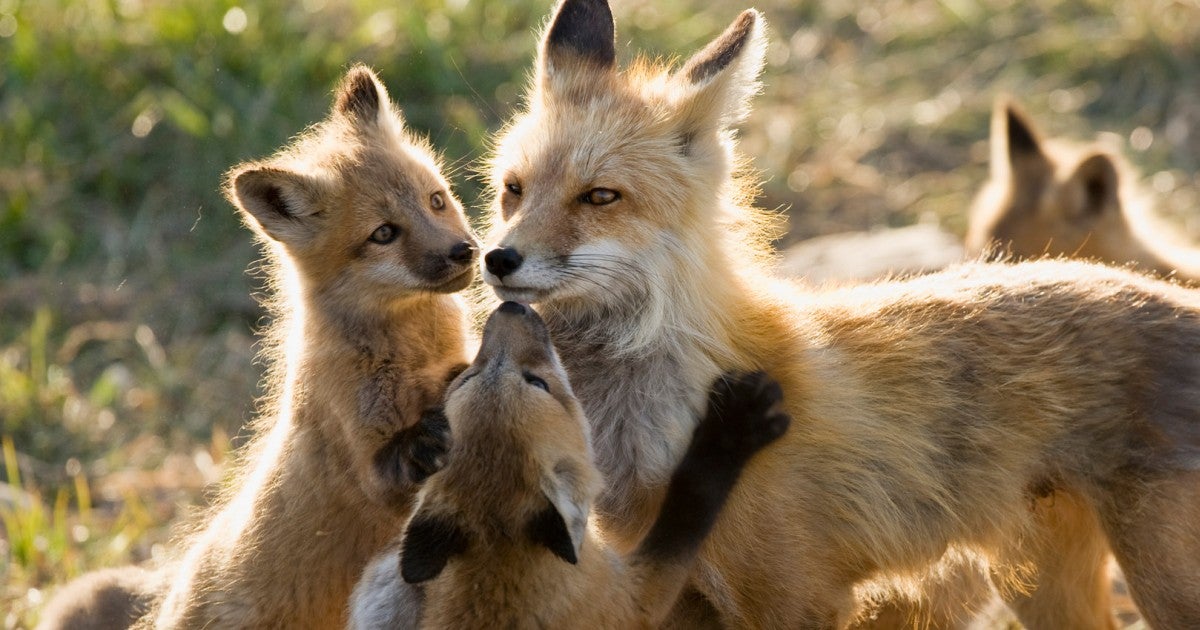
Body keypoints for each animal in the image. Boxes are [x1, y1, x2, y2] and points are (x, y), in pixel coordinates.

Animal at [135, 65, 476, 628]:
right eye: (384, 233)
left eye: (437, 199)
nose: (465, 252)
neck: (407, 353)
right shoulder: (368, 468)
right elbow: (398, 461)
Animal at [348, 302, 789, 630]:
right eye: (538, 383)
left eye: (465, 380)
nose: (509, 305)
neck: (500, 558)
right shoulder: (638, 597)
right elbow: (690, 505)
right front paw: (733, 427)